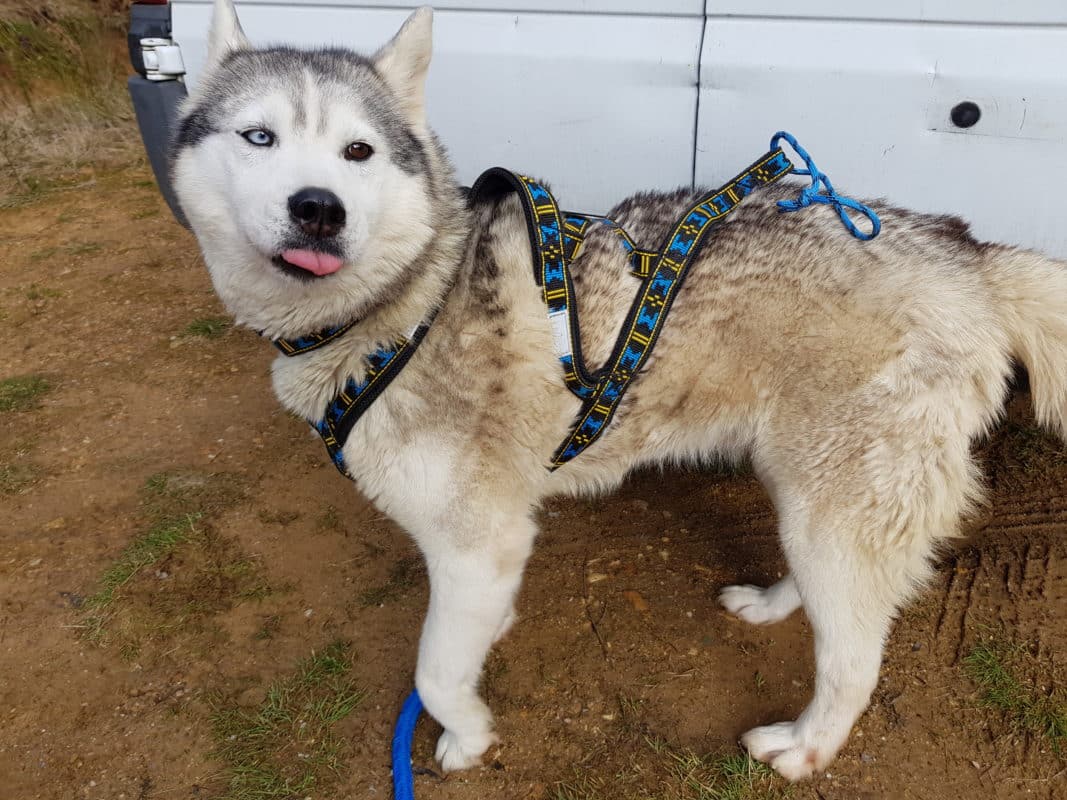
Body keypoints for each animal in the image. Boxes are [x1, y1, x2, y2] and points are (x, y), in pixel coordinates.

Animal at [172, 1, 1067, 785]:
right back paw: (773, 603)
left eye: (357, 152)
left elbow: (431, 673)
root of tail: (970, 253)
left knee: (854, 659)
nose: (317, 210)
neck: (408, 304)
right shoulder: (484, 559)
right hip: (804, 488)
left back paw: (804, 747)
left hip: (838, 503)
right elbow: (465, 641)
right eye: (259, 137)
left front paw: (465, 736)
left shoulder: (475, 542)